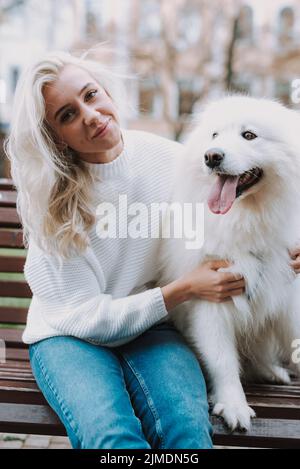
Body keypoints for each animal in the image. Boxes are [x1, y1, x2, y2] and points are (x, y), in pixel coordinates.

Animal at [159, 95, 300, 432]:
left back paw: (271, 371)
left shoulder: (288, 297)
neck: (245, 220)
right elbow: (223, 361)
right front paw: (234, 405)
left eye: (249, 135)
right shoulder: (211, 301)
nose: (212, 156)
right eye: (214, 135)